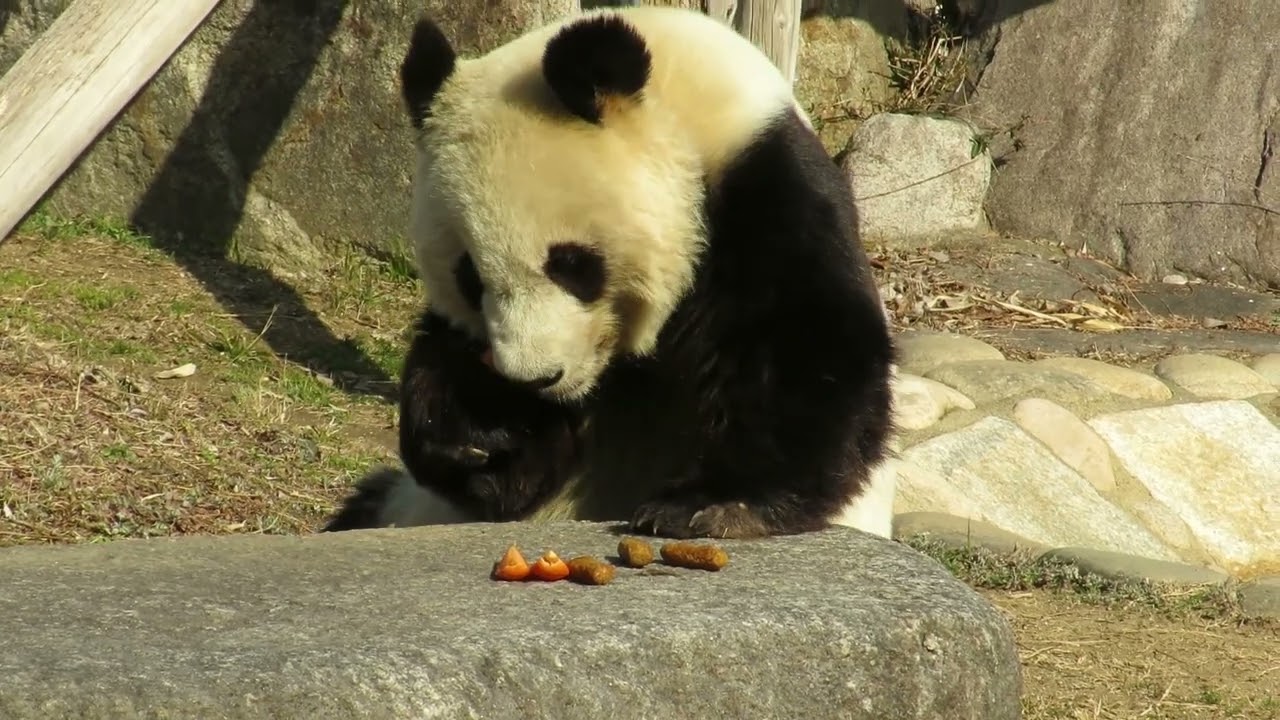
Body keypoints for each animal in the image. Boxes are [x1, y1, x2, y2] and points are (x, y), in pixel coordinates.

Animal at [323, 5, 897, 540]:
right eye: (470, 277)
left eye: (571, 264)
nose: (535, 379)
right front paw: (479, 431)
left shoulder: (764, 190)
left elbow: (805, 349)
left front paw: (708, 505)